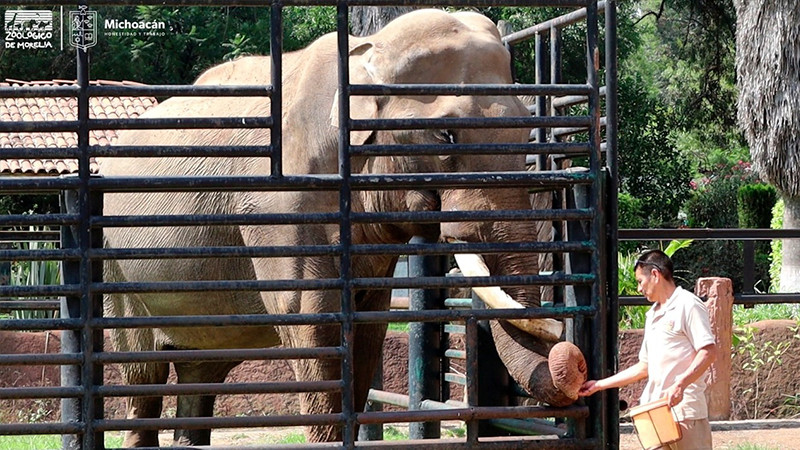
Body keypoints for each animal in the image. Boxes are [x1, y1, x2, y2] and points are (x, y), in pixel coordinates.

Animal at [98, 7, 588, 446]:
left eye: (525, 135)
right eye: (445, 136)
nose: (574, 357)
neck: (365, 52)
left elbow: (369, 327)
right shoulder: (285, 205)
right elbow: (312, 322)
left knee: (201, 372)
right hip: (116, 269)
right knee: (142, 373)